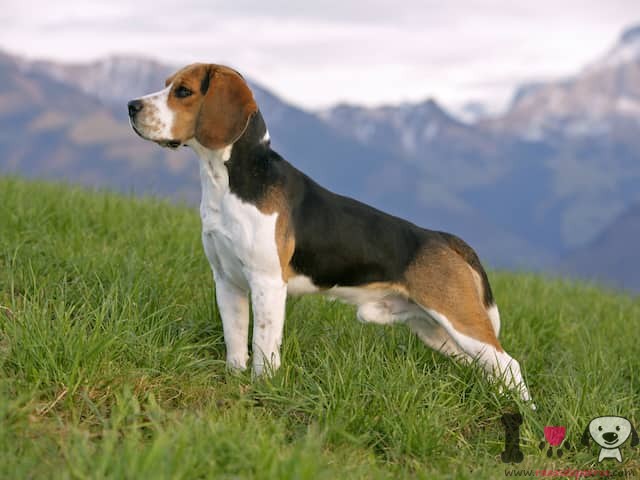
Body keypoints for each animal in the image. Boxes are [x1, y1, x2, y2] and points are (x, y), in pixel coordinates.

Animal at [127, 62, 532, 404]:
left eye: (183, 91)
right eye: (166, 84)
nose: (131, 106)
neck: (227, 180)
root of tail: (444, 238)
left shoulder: (267, 283)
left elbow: (263, 344)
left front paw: (262, 388)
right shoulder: (227, 282)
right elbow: (236, 341)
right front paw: (234, 379)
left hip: (459, 319)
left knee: (509, 365)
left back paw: (525, 417)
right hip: (434, 331)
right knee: (491, 368)